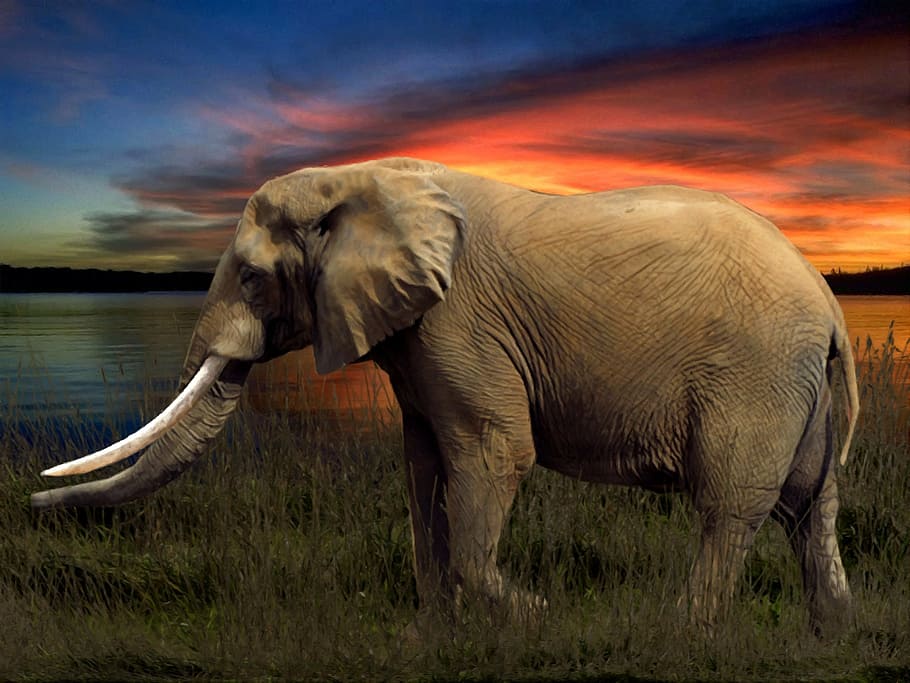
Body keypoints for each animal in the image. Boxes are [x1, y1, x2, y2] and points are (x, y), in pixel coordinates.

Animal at [32, 157, 859, 635]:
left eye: (253, 278)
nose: (32, 499)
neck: (359, 177)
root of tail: (828, 301)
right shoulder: (418, 339)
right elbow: (423, 465)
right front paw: (436, 633)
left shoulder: (459, 322)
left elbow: (495, 455)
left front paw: (534, 615)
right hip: (795, 384)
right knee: (809, 501)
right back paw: (834, 628)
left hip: (756, 375)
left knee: (732, 503)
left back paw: (681, 632)